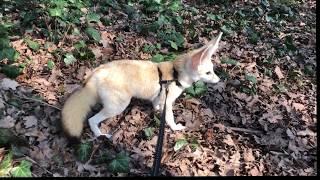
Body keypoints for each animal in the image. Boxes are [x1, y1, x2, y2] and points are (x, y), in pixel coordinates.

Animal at [62, 31, 222, 139]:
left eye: (213, 70)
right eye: (208, 73)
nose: (219, 80)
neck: (175, 73)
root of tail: (95, 74)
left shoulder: (159, 98)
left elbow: (157, 106)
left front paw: (157, 112)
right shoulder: (168, 102)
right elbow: (170, 118)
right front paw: (175, 128)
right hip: (118, 106)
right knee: (91, 120)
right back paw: (100, 135)